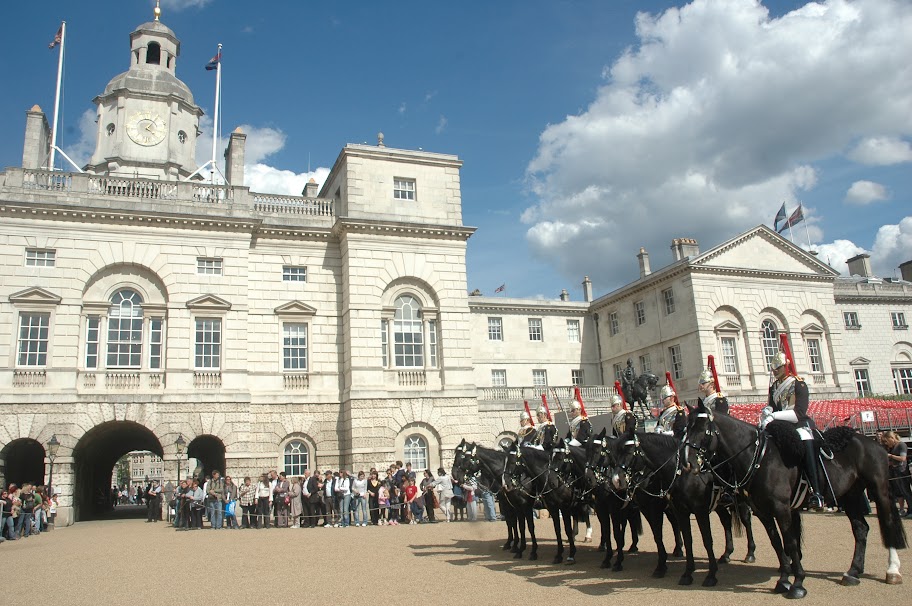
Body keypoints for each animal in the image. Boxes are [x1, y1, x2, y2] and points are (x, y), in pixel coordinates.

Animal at [686, 400, 906, 598]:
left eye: (703, 429)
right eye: (687, 428)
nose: (688, 463)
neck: (760, 457)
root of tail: (872, 442)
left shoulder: (782, 508)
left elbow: (790, 542)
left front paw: (798, 583)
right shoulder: (763, 512)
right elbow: (777, 543)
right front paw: (783, 580)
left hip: (879, 490)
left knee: (887, 523)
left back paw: (892, 570)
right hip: (850, 496)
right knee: (861, 529)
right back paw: (853, 572)